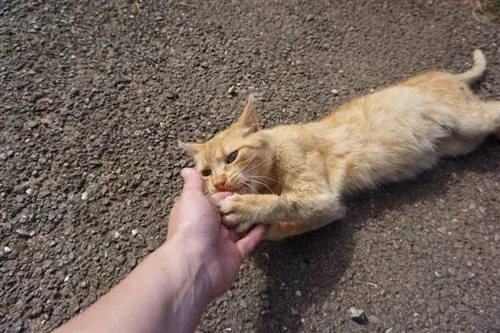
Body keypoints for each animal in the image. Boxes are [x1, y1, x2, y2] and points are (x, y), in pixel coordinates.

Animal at [180, 50, 500, 239]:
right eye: (206, 173)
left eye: (232, 157)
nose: (219, 183)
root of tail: (446, 74)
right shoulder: (329, 209)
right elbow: (288, 224)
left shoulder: (321, 196)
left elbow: (284, 202)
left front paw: (246, 208)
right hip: (462, 141)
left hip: (473, 119)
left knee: (493, 108)